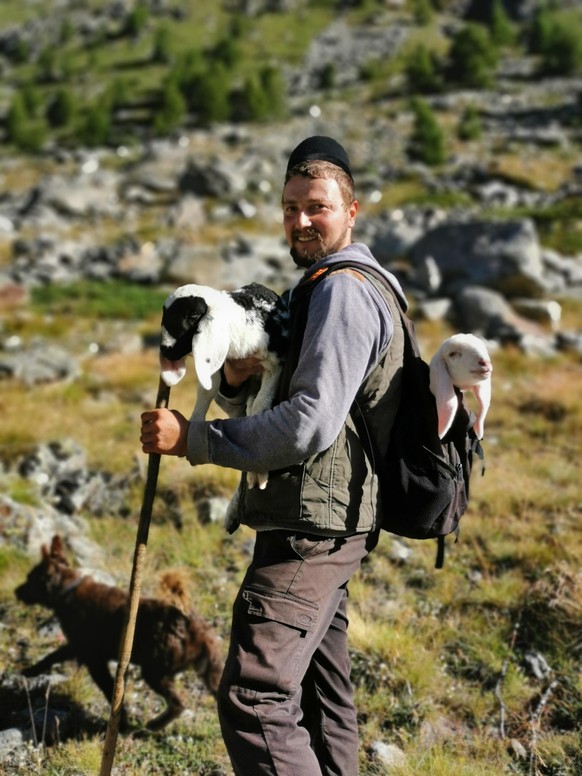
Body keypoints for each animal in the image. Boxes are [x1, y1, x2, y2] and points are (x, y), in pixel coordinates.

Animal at [15, 536, 226, 732]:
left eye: (29, 579)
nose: (16, 591)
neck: (67, 590)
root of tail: (185, 620)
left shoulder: (94, 660)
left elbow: (110, 692)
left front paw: (121, 723)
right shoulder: (77, 646)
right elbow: (52, 656)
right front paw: (30, 671)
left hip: (154, 671)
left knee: (179, 703)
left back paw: (155, 725)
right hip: (210, 671)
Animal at [160, 282, 290, 488]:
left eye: (193, 315)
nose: (165, 351)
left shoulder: (275, 364)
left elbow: (261, 403)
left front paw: (259, 472)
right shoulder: (222, 362)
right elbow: (207, 390)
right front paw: (193, 424)